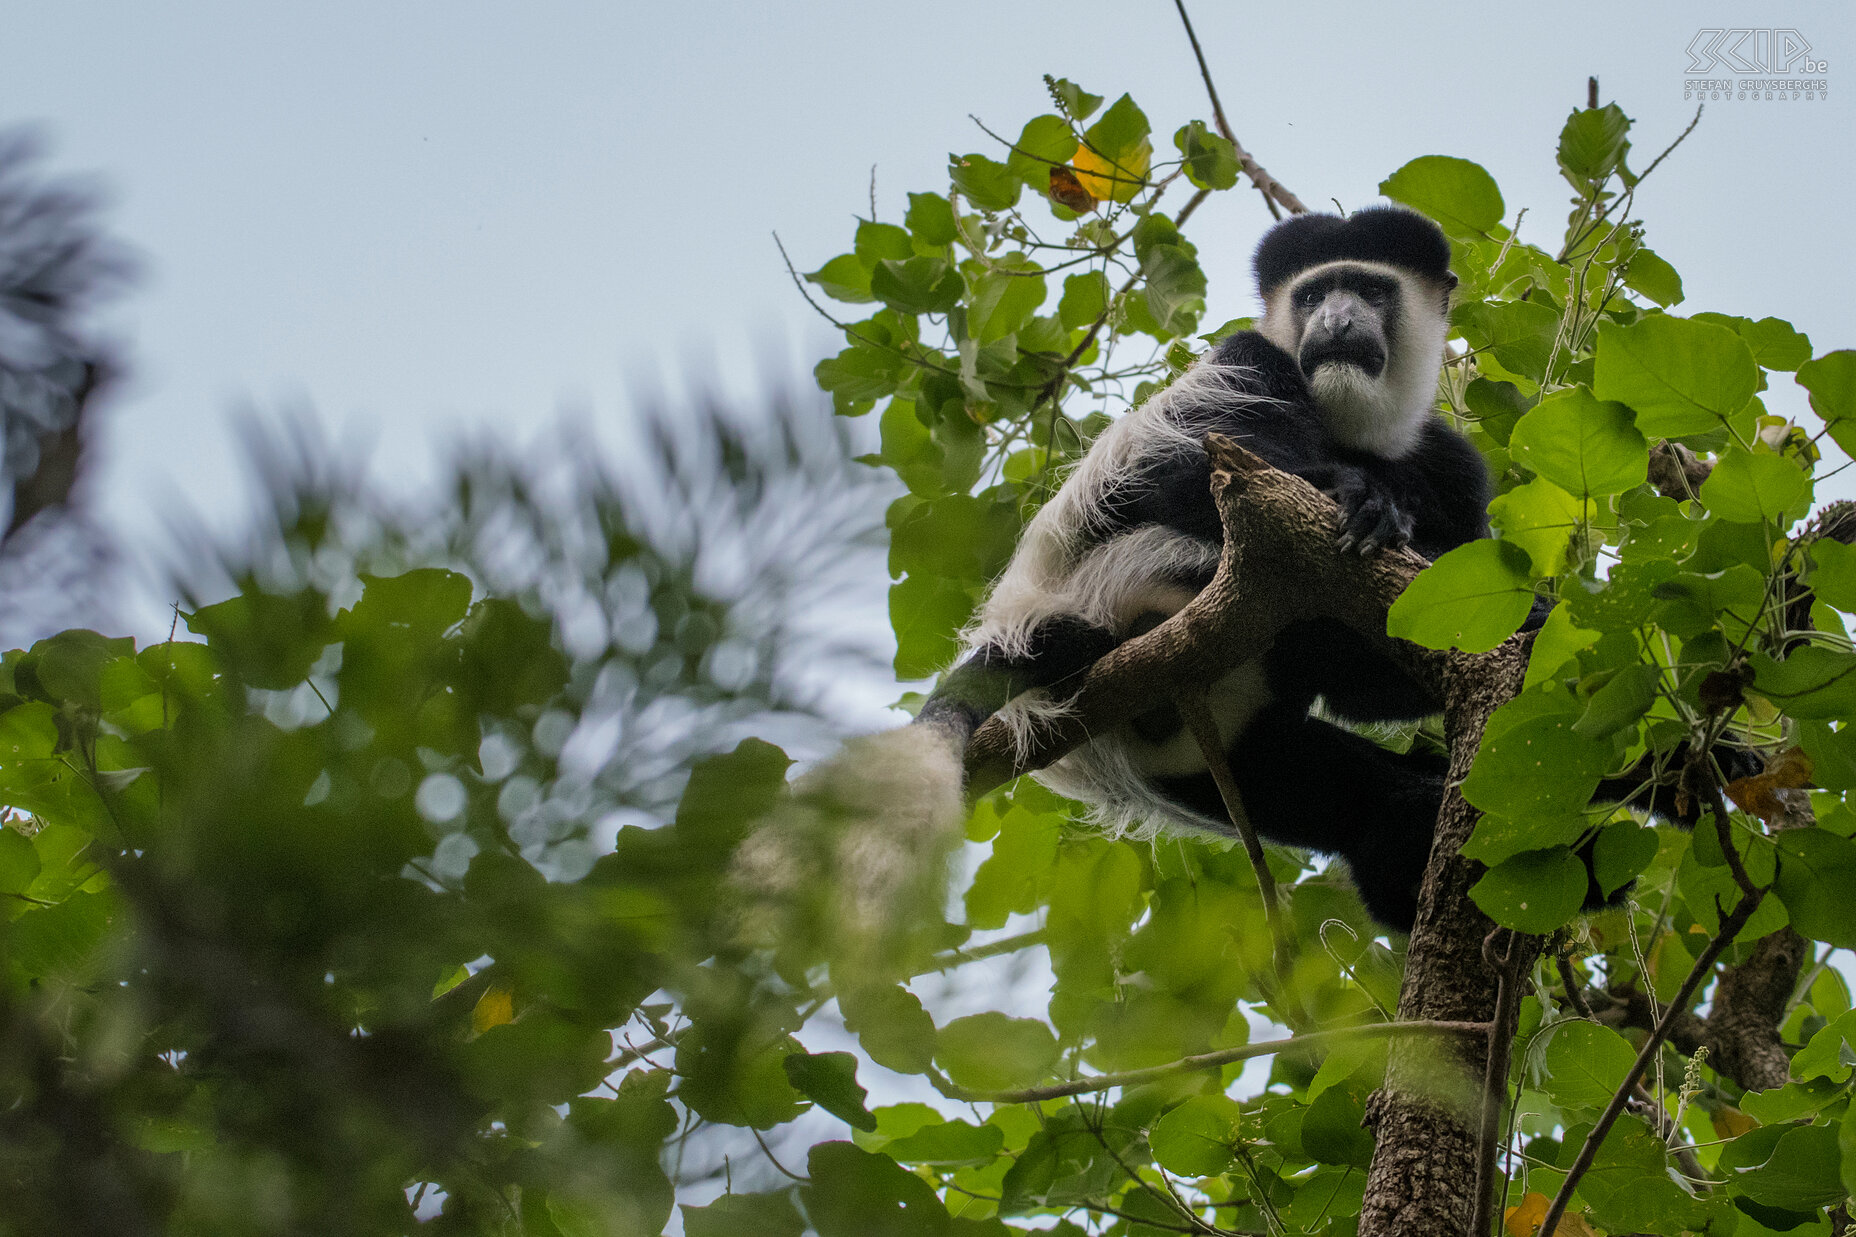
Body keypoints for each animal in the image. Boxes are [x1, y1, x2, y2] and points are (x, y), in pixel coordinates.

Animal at [909, 207, 1477, 928]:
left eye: (1373, 291)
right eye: (1314, 295)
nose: (1338, 320)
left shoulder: (1453, 465)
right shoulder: (1248, 362)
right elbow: (1170, 474)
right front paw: (1360, 496)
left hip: (1225, 760)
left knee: (1333, 774)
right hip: (1137, 577)